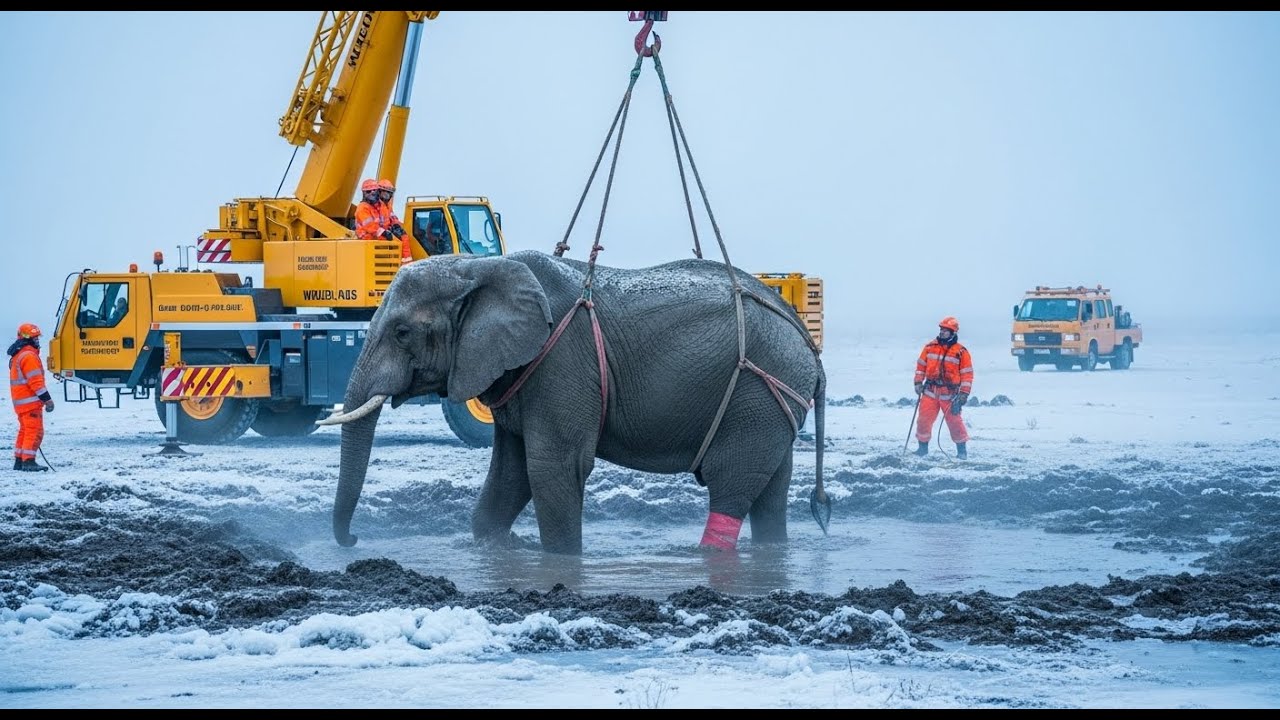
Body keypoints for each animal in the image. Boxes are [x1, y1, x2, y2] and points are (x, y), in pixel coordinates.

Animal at [321, 249, 827, 555]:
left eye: (402, 332)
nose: (354, 539)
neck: (482, 265)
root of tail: (805, 341)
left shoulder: (561, 362)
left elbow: (552, 468)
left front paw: (561, 565)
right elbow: (510, 474)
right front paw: (497, 551)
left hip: (758, 394)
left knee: (730, 486)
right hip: (771, 403)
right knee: (770, 492)